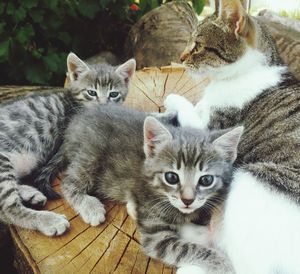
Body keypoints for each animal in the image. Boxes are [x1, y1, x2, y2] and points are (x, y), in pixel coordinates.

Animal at [0, 53, 135, 235]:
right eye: (91, 92)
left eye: (113, 94)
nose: (103, 104)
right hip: (2, 160)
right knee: (7, 209)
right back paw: (49, 220)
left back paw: (30, 194)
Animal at [59, 105, 243, 272]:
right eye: (171, 177)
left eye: (206, 180)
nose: (187, 200)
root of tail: (77, 118)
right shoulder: (156, 237)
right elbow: (187, 248)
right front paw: (223, 264)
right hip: (89, 157)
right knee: (67, 183)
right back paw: (90, 207)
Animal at [165, 0, 300, 274]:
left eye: (197, 45)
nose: (181, 58)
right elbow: (199, 106)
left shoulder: (213, 134)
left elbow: (188, 108)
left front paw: (173, 99)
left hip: (252, 180)